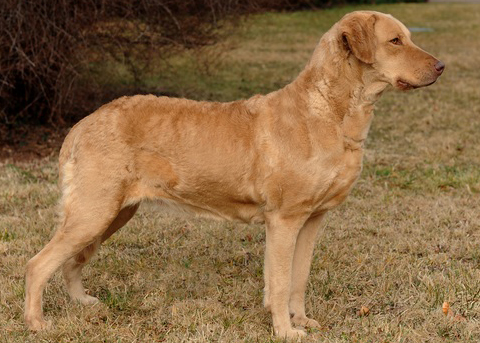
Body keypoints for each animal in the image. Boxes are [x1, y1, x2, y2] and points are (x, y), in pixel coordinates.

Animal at [24, 11, 444, 342]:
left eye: (408, 37)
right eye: (395, 40)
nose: (441, 66)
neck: (330, 111)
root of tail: (81, 125)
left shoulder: (312, 219)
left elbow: (298, 277)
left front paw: (302, 320)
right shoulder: (284, 219)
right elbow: (280, 281)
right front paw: (285, 331)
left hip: (113, 212)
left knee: (72, 261)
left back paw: (83, 303)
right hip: (94, 210)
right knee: (39, 264)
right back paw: (37, 323)